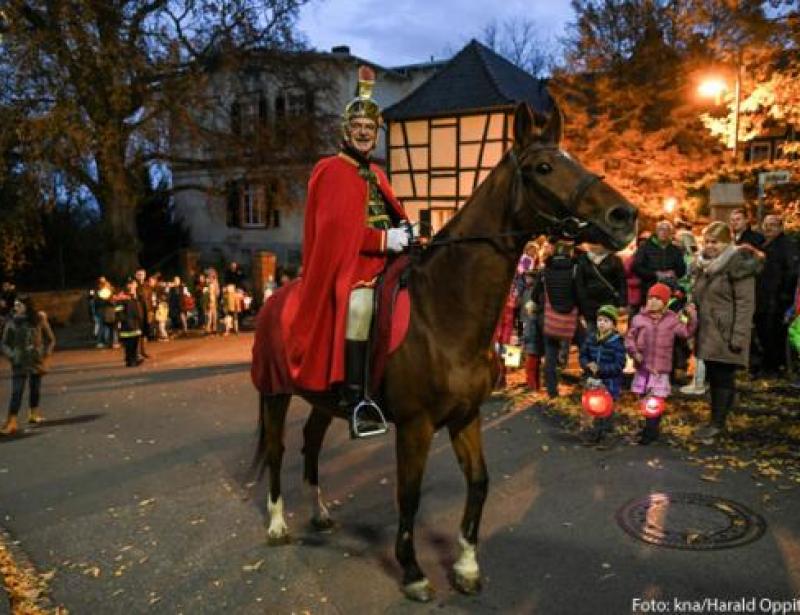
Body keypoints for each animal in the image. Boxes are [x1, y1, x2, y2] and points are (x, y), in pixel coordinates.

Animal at [252, 101, 636, 600]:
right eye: (543, 167)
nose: (624, 216)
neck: (444, 313)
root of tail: (275, 297)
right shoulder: (415, 427)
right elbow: (409, 495)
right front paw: (413, 571)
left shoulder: (466, 417)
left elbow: (479, 482)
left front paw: (467, 565)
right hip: (274, 393)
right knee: (277, 449)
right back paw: (278, 523)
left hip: (322, 398)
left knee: (311, 443)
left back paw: (318, 511)